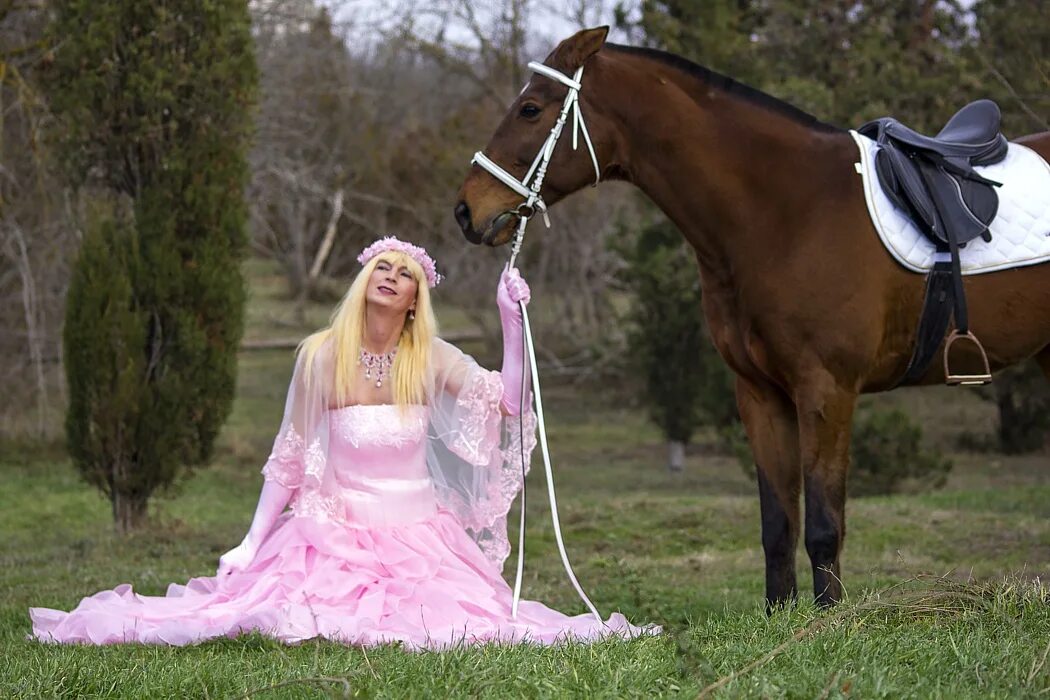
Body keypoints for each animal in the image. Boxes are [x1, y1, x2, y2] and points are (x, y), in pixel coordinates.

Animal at [453, 25, 1050, 608]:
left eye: (531, 108)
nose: (465, 210)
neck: (791, 211)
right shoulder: (760, 395)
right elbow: (777, 526)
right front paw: (780, 618)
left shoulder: (827, 391)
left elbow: (824, 527)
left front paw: (826, 621)